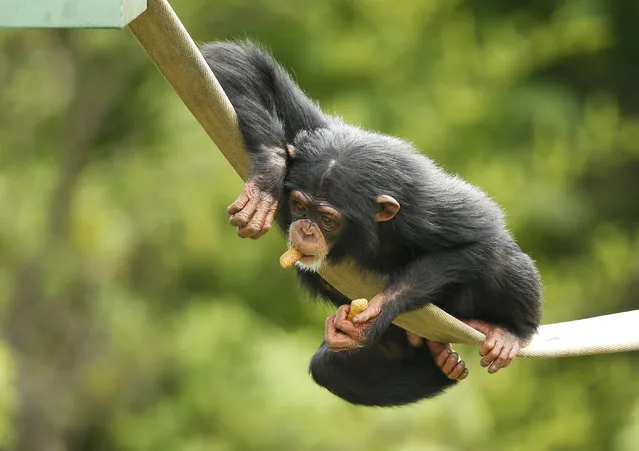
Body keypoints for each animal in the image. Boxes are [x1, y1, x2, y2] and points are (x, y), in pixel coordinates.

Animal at [202, 39, 544, 406]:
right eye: (299, 205)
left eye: (327, 219)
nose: (305, 229)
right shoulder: (310, 134)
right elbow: (235, 62)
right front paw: (269, 169)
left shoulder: (426, 210)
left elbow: (481, 238)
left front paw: (380, 309)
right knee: (330, 369)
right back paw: (439, 359)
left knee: (500, 258)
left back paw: (507, 332)